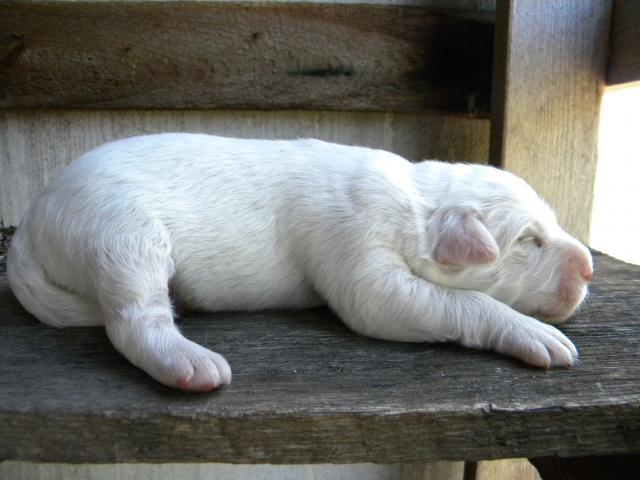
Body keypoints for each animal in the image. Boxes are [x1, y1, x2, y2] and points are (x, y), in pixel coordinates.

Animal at [7, 133, 592, 392]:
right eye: (529, 241)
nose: (589, 267)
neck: (413, 203)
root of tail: (34, 218)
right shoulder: (359, 258)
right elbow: (453, 301)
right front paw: (538, 336)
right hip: (123, 235)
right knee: (134, 321)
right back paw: (194, 365)